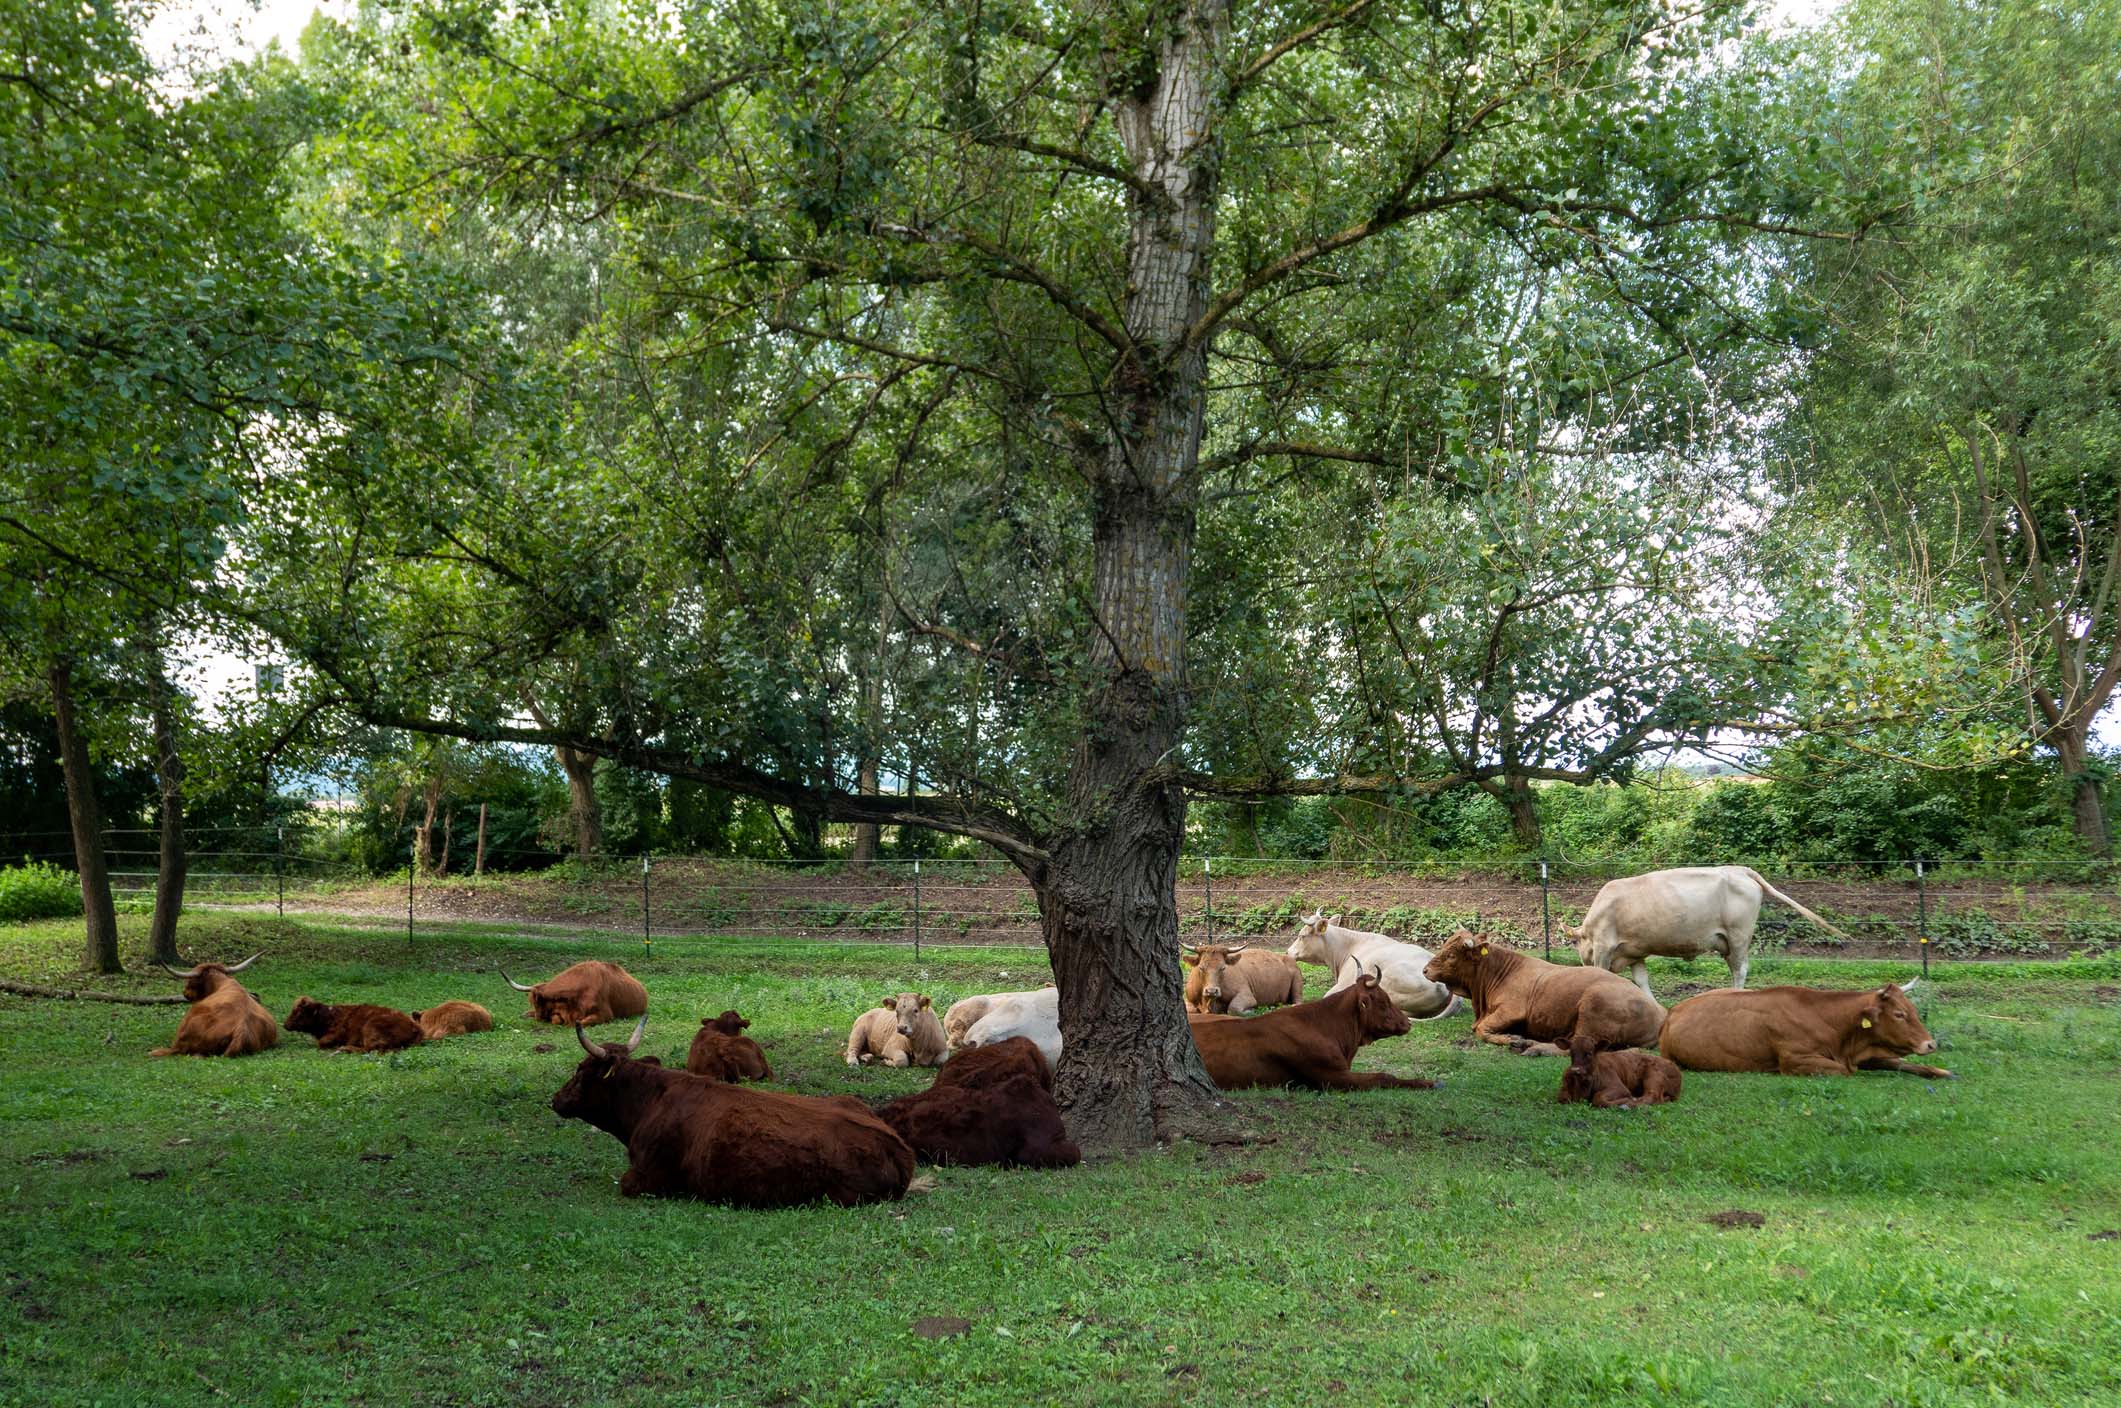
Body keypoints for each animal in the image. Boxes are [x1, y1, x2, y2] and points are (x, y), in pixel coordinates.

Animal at [284, 997, 425, 1053]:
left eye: (298, 1012)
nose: (285, 1025)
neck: (329, 1016)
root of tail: (416, 1028)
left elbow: (321, 1043)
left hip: (370, 1027)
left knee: (370, 1049)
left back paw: (345, 1048)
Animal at [1422, 931, 1665, 1057]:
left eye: (1451, 955)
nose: (1425, 970)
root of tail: (1660, 1013)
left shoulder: (1511, 1010)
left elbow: (1481, 1029)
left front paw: (1511, 1038)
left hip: (1593, 1005)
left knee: (1577, 1047)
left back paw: (1533, 1048)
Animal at [1563, 866, 1851, 997]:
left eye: (1577, 945)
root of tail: (1739, 869)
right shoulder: (1636, 952)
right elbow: (1642, 981)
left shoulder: (1604, 947)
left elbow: (1601, 973)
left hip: (1738, 936)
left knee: (1739, 969)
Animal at [1660, 982, 1952, 1078]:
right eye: (1899, 1014)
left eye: (1912, 1010)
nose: (1930, 1044)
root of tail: (1673, 1011)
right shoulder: (1795, 1061)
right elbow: (1845, 1071)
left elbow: (1902, 1063)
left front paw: (1942, 1072)